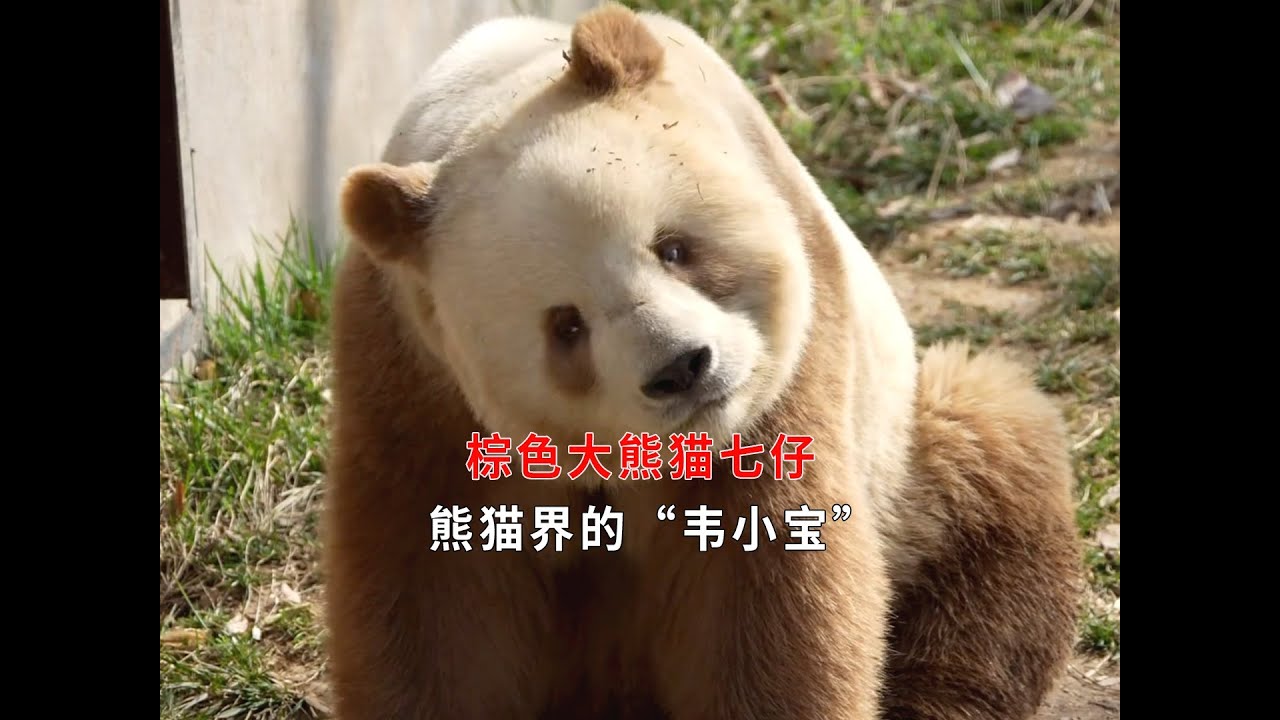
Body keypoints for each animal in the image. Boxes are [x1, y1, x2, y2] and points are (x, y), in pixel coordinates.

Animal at [321, 4, 1081, 719]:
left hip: (907, 462)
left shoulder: (791, 361)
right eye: (566, 325)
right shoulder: (415, 378)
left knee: (986, 480)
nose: (681, 369)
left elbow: (765, 593)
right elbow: (436, 598)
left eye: (674, 247)